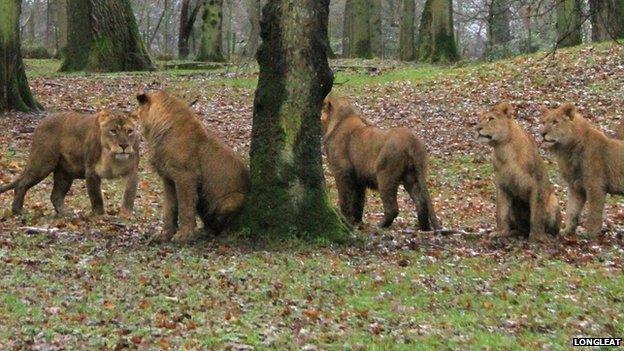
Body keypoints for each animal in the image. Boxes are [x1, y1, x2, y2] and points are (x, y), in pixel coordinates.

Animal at [0, 111, 139, 217]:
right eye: (113, 131)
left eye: (129, 131)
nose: (124, 145)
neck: (112, 157)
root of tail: (42, 122)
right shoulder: (91, 171)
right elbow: (96, 197)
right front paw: (100, 216)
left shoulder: (132, 172)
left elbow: (129, 195)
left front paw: (126, 215)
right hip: (42, 164)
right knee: (22, 185)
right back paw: (18, 211)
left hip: (64, 174)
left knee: (55, 196)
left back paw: (66, 213)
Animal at [135, 91, 249, 245]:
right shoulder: (168, 178)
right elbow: (169, 208)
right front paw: (165, 234)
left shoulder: (186, 176)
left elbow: (185, 207)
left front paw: (183, 236)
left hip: (231, 200)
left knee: (225, 224)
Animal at [322, 97, 438, 232]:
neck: (335, 122)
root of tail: (412, 140)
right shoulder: (359, 178)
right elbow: (358, 201)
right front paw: (357, 221)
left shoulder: (342, 171)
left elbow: (345, 199)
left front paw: (346, 220)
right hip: (412, 176)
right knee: (421, 202)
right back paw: (424, 228)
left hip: (385, 175)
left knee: (393, 208)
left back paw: (379, 225)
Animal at [478, 101, 560, 242]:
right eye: (479, 119)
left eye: (490, 119)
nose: (477, 128)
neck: (504, 149)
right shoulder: (502, 185)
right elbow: (501, 212)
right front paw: (501, 232)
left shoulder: (537, 184)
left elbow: (537, 214)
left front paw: (537, 237)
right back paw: (514, 232)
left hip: (553, 201)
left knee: (554, 230)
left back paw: (548, 235)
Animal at [540, 103, 620, 238]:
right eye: (544, 122)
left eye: (555, 122)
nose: (542, 133)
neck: (568, 151)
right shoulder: (575, 187)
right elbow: (572, 211)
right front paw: (566, 231)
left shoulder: (596, 187)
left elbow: (593, 214)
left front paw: (590, 236)